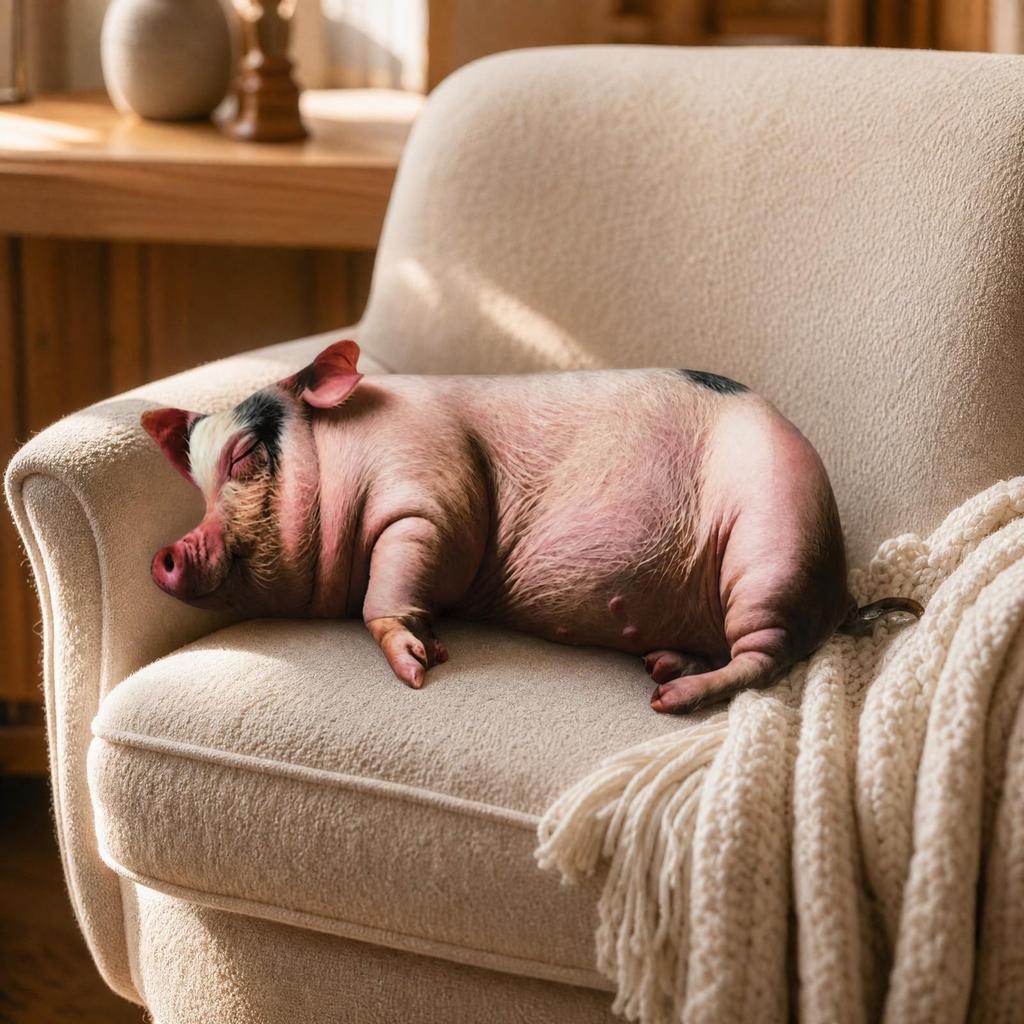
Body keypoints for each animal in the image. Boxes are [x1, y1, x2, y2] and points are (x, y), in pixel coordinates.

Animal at [141, 340, 920, 714]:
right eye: (196, 479)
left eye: (245, 456)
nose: (165, 554)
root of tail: (841, 593)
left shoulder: (432, 489)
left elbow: (394, 580)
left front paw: (418, 667)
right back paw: (664, 664)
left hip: (773, 538)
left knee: (767, 654)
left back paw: (667, 699)